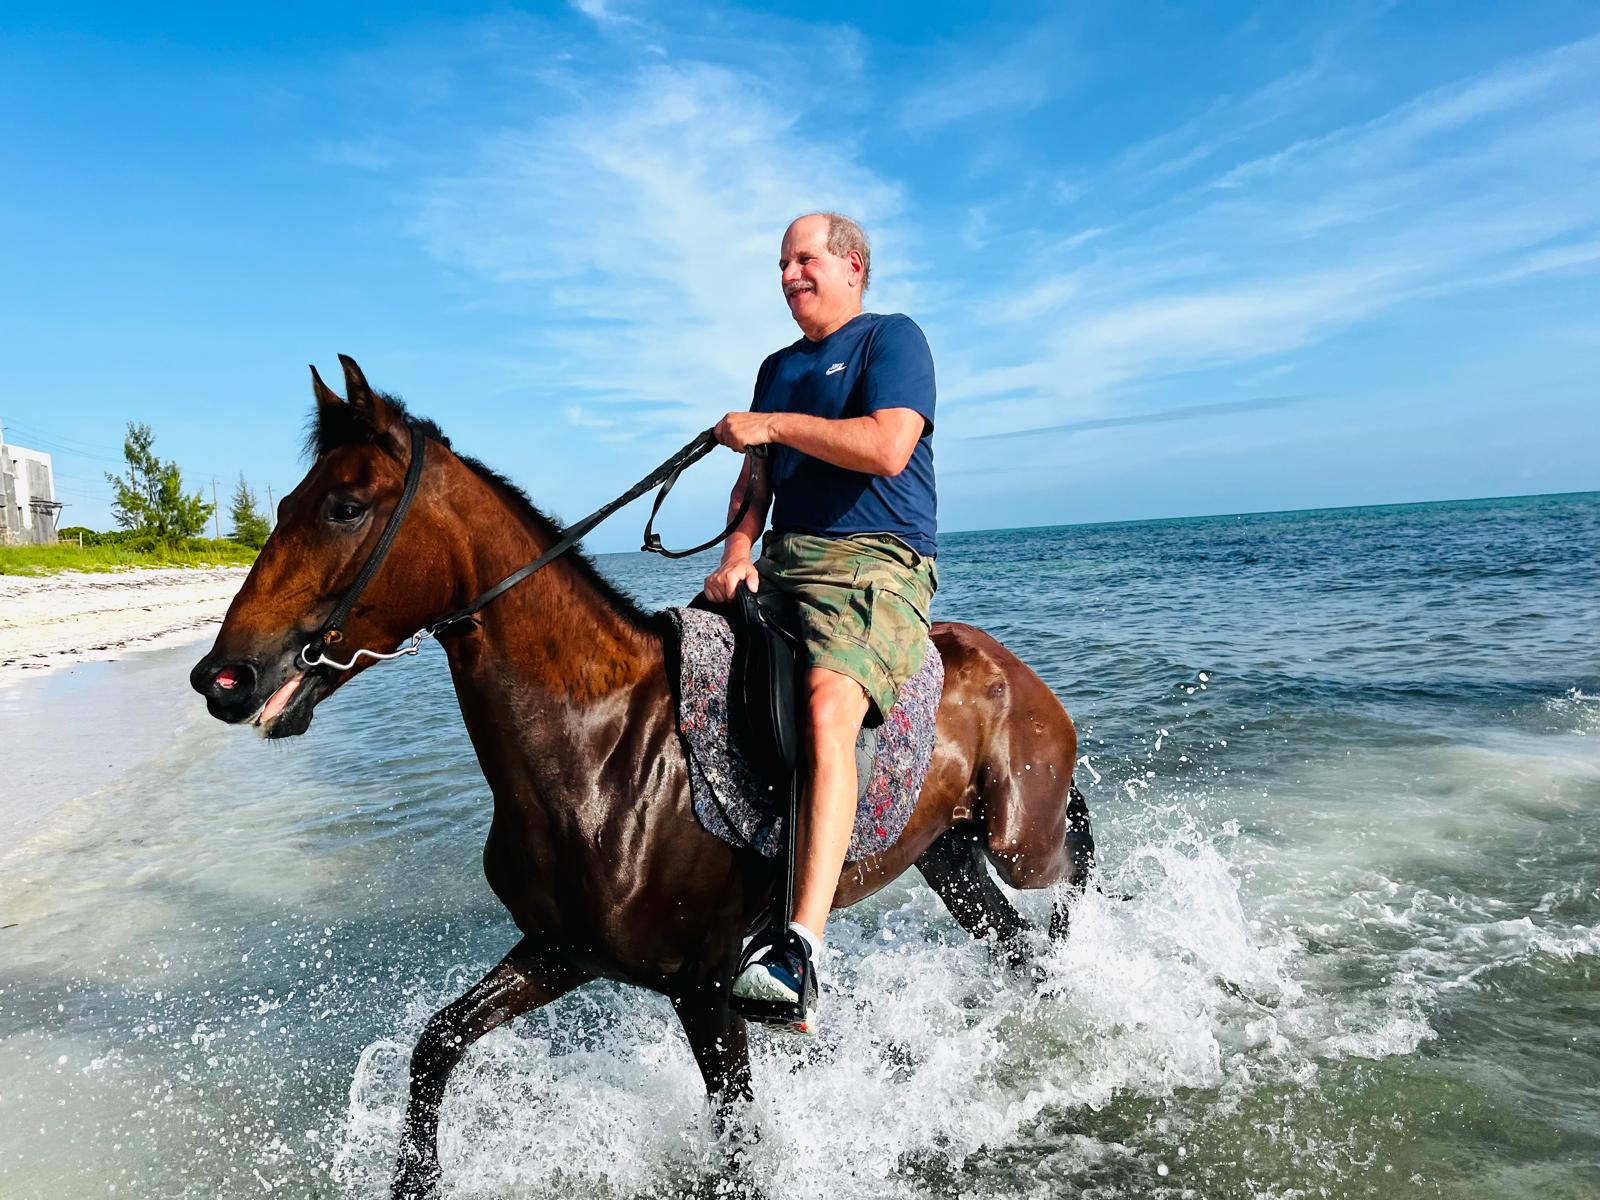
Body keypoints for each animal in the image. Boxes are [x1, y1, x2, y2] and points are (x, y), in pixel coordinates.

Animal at [190, 356, 1093, 1199]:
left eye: (344, 507)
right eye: (283, 505)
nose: (221, 678)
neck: (608, 751)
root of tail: (1001, 662)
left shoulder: (709, 988)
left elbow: (738, 1142)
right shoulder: (560, 952)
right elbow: (436, 1043)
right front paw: (414, 1179)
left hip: (1015, 842)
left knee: (1072, 859)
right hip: (950, 861)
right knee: (1024, 951)